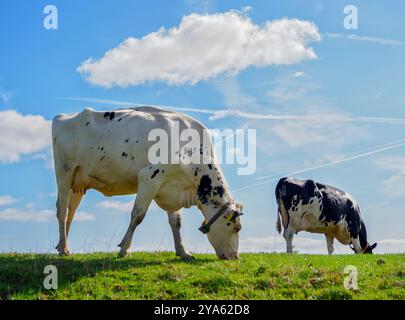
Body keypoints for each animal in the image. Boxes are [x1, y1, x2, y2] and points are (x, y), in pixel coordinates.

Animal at [50, 107, 240, 260]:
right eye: (236, 228)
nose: (235, 257)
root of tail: (64, 116)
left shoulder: (171, 186)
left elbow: (176, 222)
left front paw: (183, 252)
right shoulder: (149, 178)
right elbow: (138, 216)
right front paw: (124, 249)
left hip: (77, 183)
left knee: (71, 211)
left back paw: (61, 245)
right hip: (64, 173)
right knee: (62, 211)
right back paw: (64, 249)